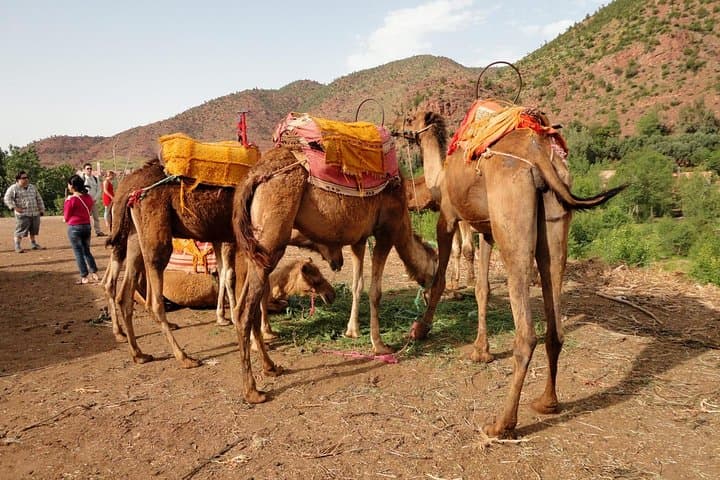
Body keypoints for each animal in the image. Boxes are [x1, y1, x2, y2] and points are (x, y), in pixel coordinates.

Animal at [233, 145, 438, 404]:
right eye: (436, 266)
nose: (430, 293)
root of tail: (252, 177)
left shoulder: (359, 239)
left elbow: (357, 285)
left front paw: (352, 331)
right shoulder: (386, 230)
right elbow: (375, 292)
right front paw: (380, 346)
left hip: (256, 246)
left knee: (244, 303)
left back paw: (271, 367)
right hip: (271, 238)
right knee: (245, 311)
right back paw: (253, 391)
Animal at [403, 107, 624, 438]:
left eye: (410, 119)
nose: (396, 129)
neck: (440, 174)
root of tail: (538, 152)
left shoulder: (449, 215)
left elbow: (442, 275)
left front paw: (421, 328)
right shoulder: (485, 230)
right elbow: (482, 289)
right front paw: (480, 351)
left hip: (512, 215)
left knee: (526, 332)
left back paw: (502, 424)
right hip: (554, 216)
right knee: (554, 315)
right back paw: (547, 402)